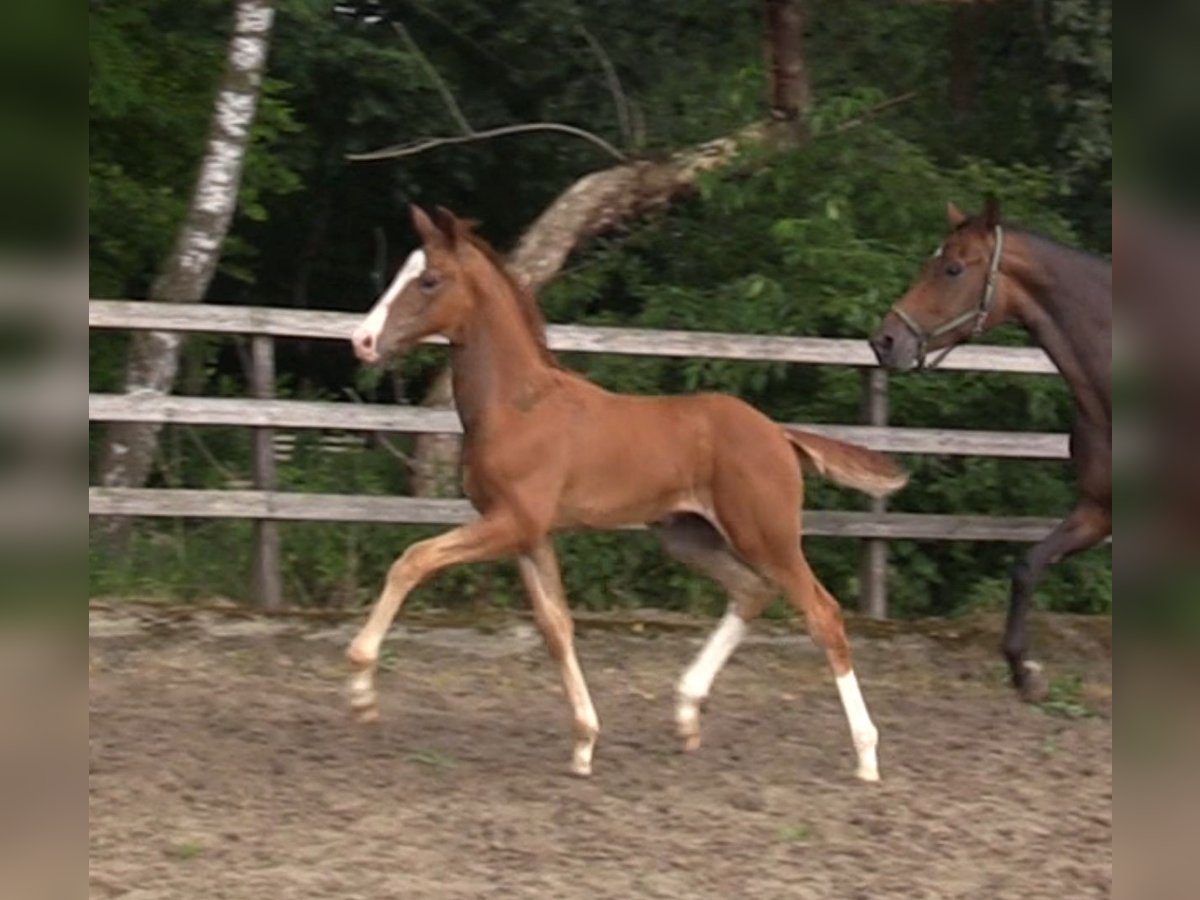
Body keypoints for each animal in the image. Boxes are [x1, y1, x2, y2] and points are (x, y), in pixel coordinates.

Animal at [343, 204, 902, 782]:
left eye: (429, 279)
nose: (361, 341)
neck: (518, 406)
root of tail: (779, 434)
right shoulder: (526, 535)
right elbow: (556, 627)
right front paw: (585, 743)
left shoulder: (511, 523)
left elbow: (412, 559)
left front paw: (361, 689)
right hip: (687, 536)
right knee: (752, 591)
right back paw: (686, 713)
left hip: (766, 535)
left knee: (823, 614)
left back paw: (866, 757)